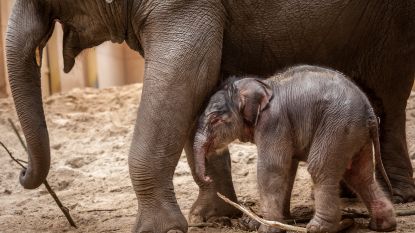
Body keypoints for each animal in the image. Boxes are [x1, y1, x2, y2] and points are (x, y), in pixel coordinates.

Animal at [193, 65, 398, 233]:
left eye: (215, 120)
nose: (208, 178)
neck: (262, 84)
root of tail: (370, 113)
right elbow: (287, 169)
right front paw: (277, 221)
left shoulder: (273, 122)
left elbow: (271, 169)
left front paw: (268, 228)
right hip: (356, 135)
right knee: (360, 175)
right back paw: (383, 225)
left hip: (339, 127)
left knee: (320, 168)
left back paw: (318, 228)